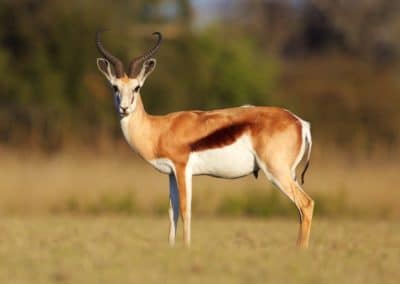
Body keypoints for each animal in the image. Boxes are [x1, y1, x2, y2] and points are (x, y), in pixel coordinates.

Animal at [95, 31, 314, 247]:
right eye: (115, 87)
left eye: (137, 87)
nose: (124, 108)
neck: (159, 129)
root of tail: (300, 123)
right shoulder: (171, 174)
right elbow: (172, 213)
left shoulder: (182, 169)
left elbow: (186, 211)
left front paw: (187, 248)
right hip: (290, 174)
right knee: (300, 211)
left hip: (276, 172)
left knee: (306, 204)